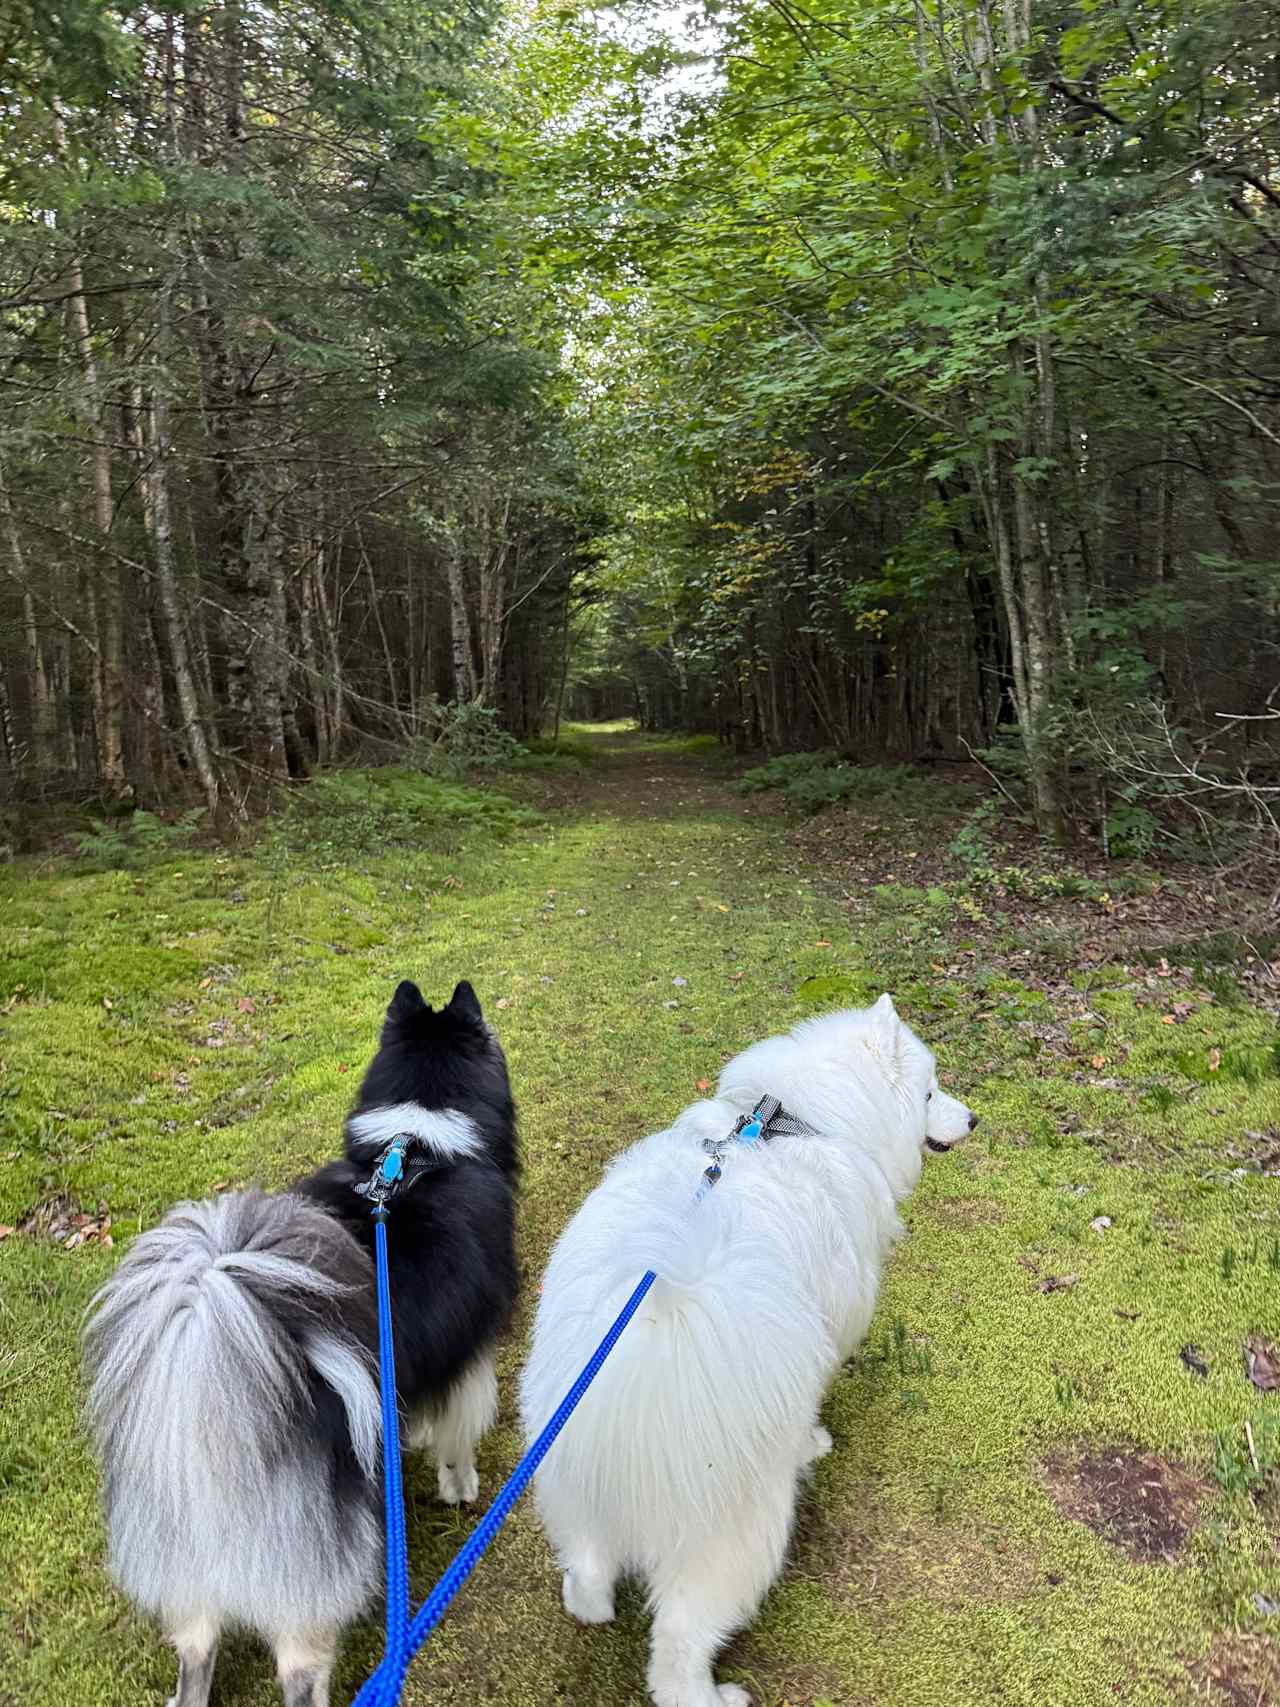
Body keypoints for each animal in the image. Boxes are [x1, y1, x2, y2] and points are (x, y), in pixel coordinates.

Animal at [84, 983, 522, 1707]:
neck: (416, 1142)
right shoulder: (469, 1362)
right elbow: (459, 1438)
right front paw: (460, 1487)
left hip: (191, 1584)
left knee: (194, 1661)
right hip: (307, 1599)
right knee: (299, 1678)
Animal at [518, 996, 969, 1707]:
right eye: (929, 1093)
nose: (975, 1118)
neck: (801, 1123)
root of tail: (646, 1365)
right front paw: (814, 1442)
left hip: (568, 1483)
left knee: (588, 1576)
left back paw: (584, 1596)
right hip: (737, 1532)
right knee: (678, 1646)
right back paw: (713, 1694)